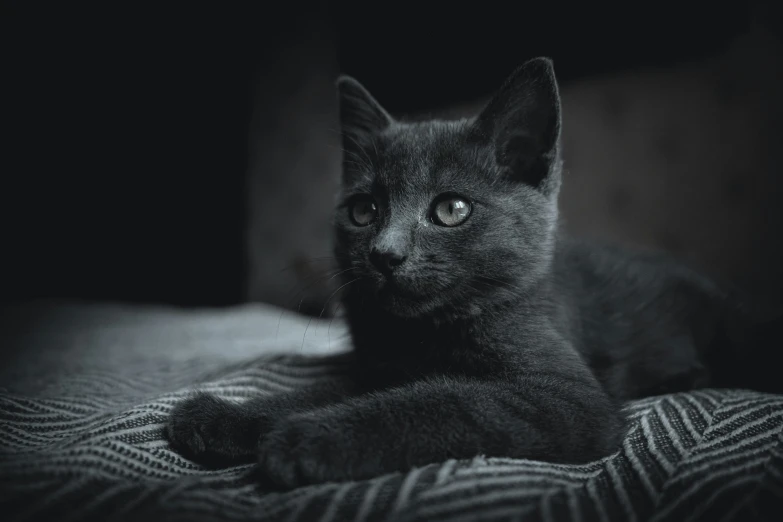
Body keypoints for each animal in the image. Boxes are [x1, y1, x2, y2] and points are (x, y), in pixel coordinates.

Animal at [167, 59, 776, 490]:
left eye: (451, 209)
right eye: (363, 211)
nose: (384, 253)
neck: (422, 333)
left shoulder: (566, 397)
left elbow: (446, 400)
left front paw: (306, 439)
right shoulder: (380, 364)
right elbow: (337, 386)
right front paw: (227, 416)